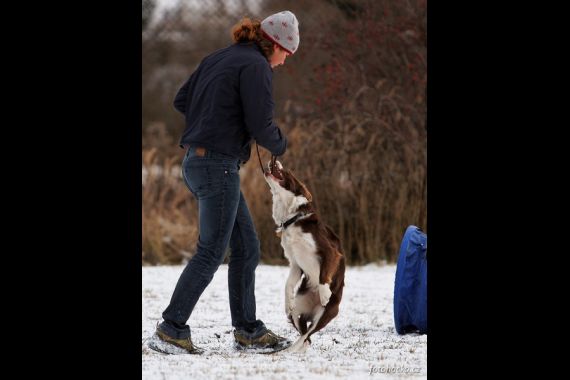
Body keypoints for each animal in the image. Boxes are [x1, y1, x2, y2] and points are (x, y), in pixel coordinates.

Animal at [262, 159, 346, 352]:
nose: (275, 160)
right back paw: (292, 349)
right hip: (298, 310)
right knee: (305, 334)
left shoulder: (330, 252)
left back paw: (291, 349)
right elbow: (288, 284)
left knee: (308, 333)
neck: (293, 218)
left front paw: (324, 293)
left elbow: (323, 274)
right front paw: (287, 302)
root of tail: (312, 310)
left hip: (326, 313)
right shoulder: (295, 262)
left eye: (289, 172)